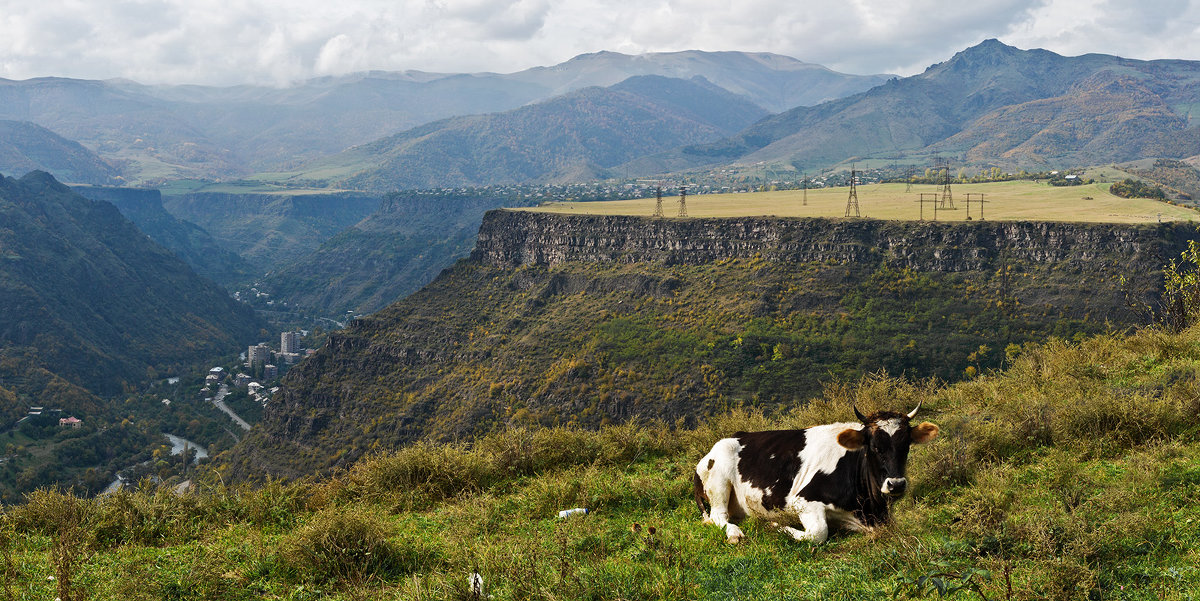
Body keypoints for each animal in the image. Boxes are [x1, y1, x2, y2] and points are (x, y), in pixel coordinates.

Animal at [696, 403, 936, 544]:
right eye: (874, 447)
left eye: (906, 446)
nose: (896, 484)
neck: (870, 507)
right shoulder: (802, 500)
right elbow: (818, 534)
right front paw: (777, 526)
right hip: (718, 480)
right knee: (719, 516)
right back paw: (734, 533)